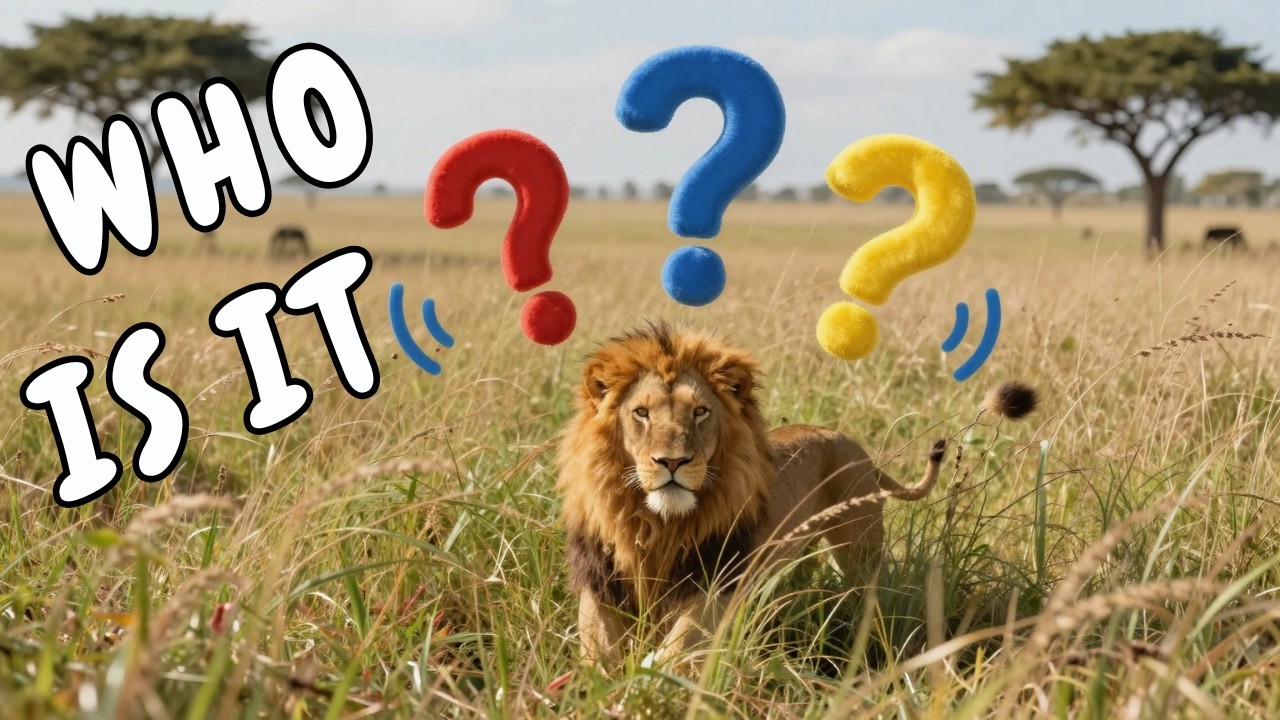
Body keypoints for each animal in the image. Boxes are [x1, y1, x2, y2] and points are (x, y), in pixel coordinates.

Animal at [556, 322, 947, 665]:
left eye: (700, 412)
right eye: (641, 413)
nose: (672, 461)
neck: (658, 523)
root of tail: (853, 444)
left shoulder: (717, 581)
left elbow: (678, 647)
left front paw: (647, 677)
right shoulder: (600, 580)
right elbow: (597, 651)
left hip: (860, 552)